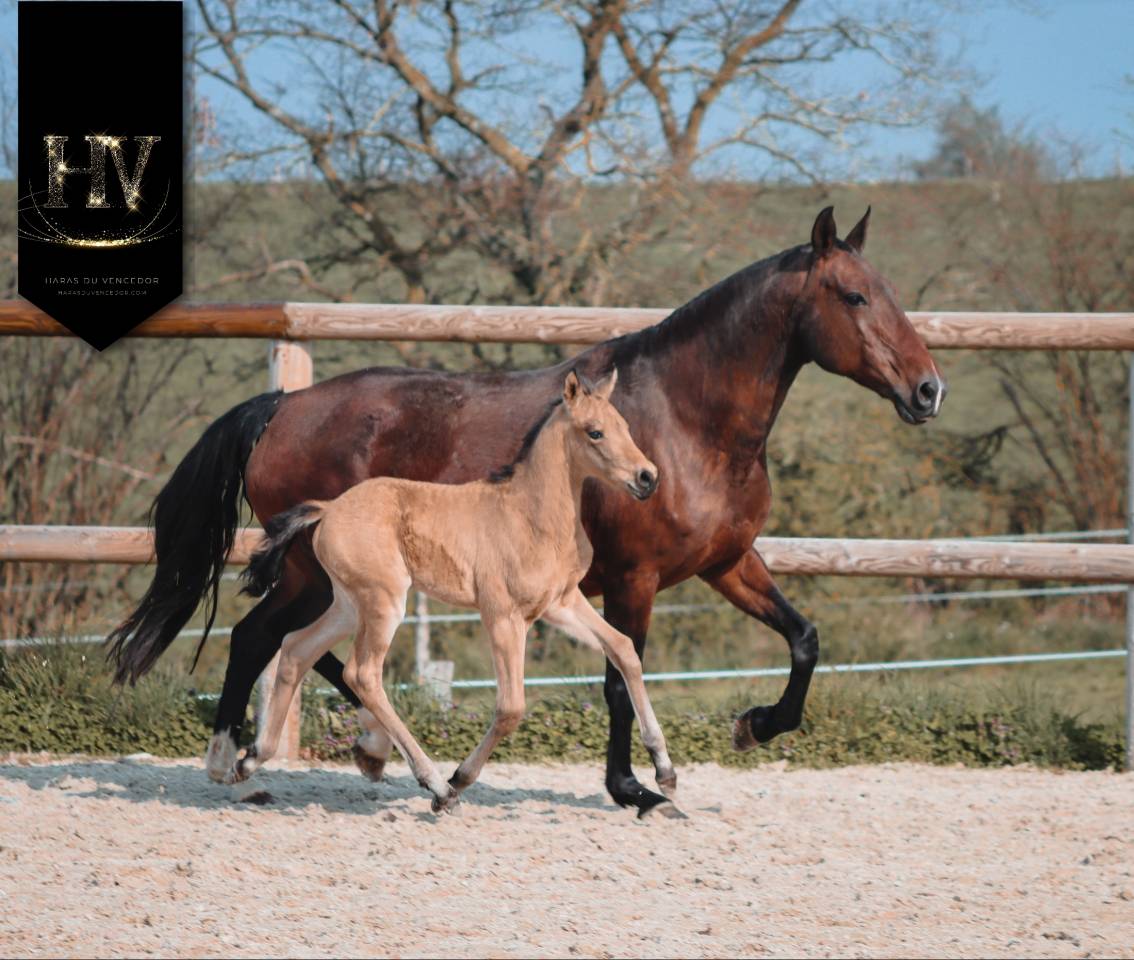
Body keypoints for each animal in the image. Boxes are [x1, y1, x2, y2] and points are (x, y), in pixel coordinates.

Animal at [231, 368, 677, 814]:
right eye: (595, 432)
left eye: (625, 426)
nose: (647, 477)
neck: (531, 515)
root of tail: (328, 509)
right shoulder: (502, 615)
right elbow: (511, 707)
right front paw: (458, 779)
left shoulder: (561, 603)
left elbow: (624, 650)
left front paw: (664, 772)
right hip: (382, 602)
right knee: (361, 674)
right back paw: (436, 786)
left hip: (348, 605)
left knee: (296, 648)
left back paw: (250, 760)